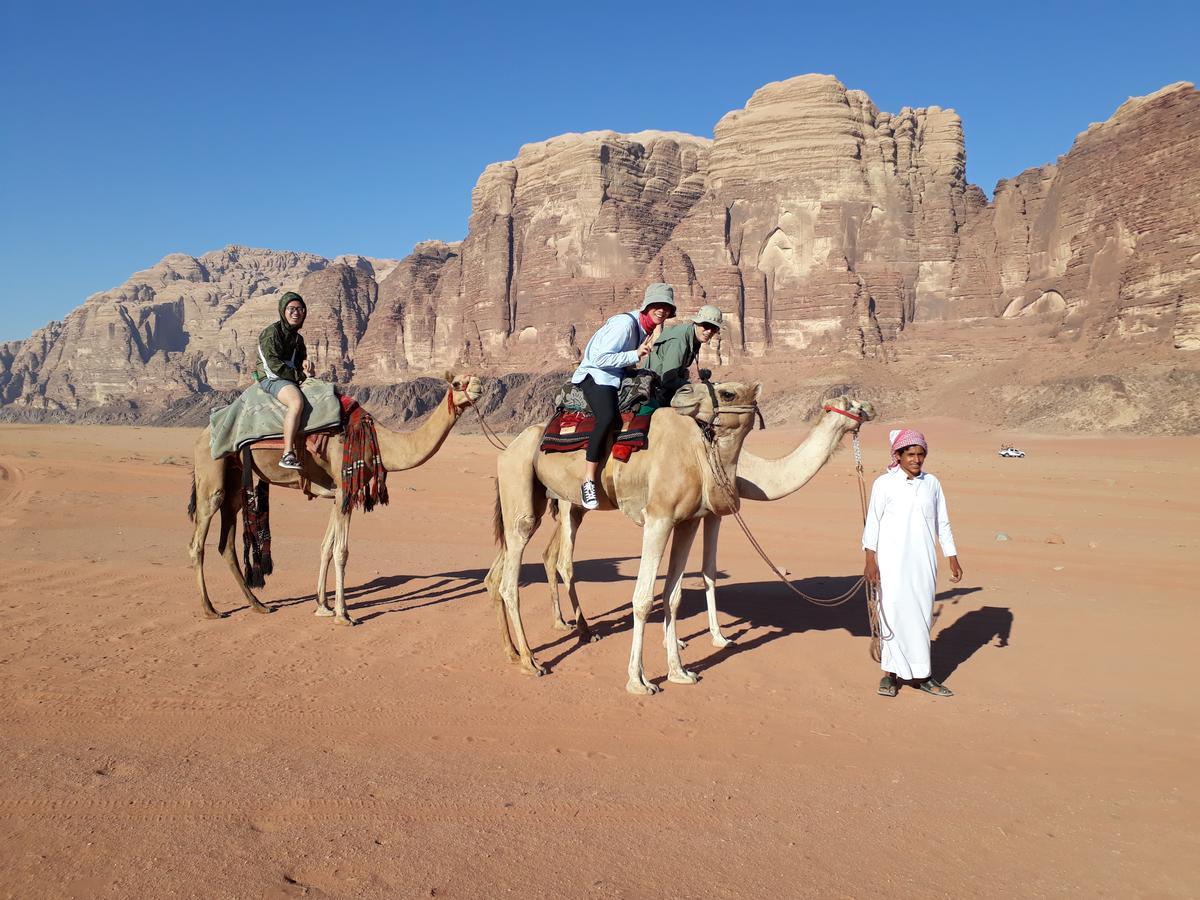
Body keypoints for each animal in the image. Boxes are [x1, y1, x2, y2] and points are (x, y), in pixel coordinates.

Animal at [189, 372, 480, 619]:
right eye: (458, 383)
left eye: (474, 376)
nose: (478, 387)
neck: (379, 441)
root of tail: (203, 433)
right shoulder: (344, 488)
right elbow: (341, 551)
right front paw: (343, 614)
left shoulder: (338, 493)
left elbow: (325, 548)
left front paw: (323, 606)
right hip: (211, 473)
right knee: (198, 542)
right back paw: (209, 609)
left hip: (235, 481)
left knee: (226, 543)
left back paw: (259, 605)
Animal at [492, 376, 763, 696]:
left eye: (728, 392)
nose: (683, 394)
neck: (694, 452)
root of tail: (508, 449)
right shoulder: (658, 517)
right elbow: (643, 599)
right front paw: (639, 681)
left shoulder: (687, 522)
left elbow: (673, 597)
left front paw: (680, 672)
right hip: (520, 484)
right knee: (512, 575)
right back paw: (530, 661)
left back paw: (517, 650)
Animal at [542, 391, 873, 643]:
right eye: (851, 403)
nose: (870, 408)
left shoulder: (713, 514)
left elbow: (708, 572)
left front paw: (716, 637)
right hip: (568, 500)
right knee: (565, 561)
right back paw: (584, 630)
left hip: (574, 506)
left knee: (550, 554)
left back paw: (561, 622)